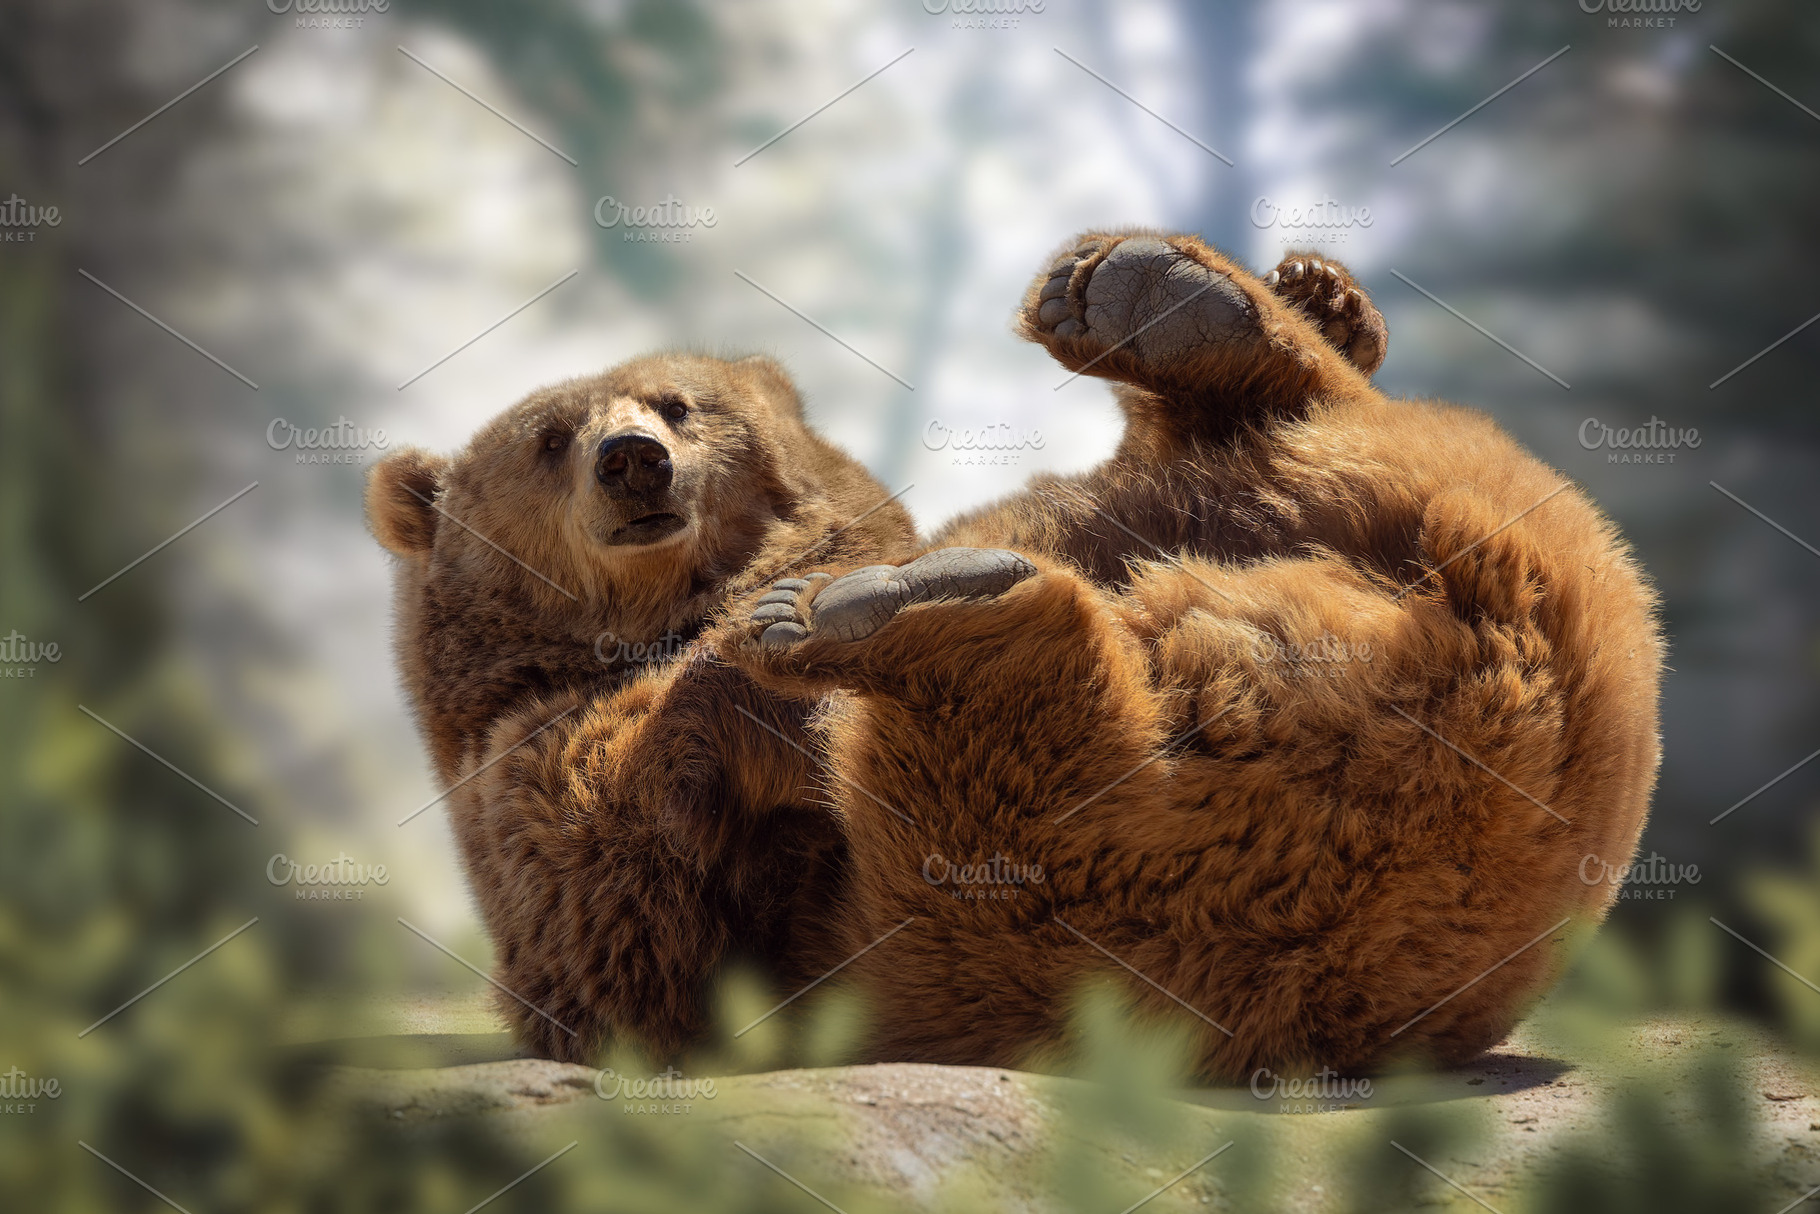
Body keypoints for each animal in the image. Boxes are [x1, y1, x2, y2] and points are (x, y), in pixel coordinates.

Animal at [368, 259, 1396, 1067]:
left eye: (679, 405)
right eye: (548, 441)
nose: (631, 459)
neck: (661, 615)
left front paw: (1322, 293)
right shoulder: (523, 762)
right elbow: (621, 879)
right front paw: (784, 657)